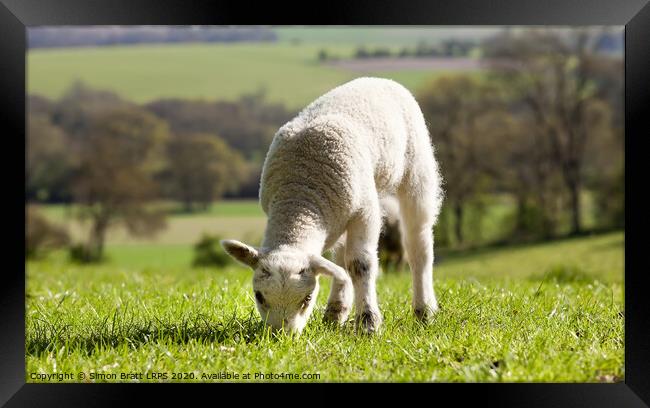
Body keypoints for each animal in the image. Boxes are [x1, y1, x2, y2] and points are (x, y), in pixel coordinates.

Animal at [221, 77, 440, 334]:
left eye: (307, 299)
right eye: (259, 296)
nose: (282, 336)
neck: (300, 196)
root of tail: (379, 79)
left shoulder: (365, 212)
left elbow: (360, 264)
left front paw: (368, 322)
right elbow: (341, 266)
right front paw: (342, 313)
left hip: (416, 172)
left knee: (418, 244)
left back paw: (424, 310)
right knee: (340, 257)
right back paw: (336, 311)